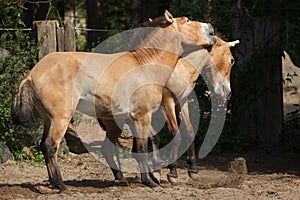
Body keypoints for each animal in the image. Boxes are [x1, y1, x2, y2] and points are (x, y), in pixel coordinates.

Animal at [11, 10, 217, 191]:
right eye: (188, 20)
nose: (212, 28)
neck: (145, 64)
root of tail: (32, 74)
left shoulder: (136, 118)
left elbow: (140, 148)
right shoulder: (142, 116)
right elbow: (143, 148)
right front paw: (150, 182)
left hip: (50, 118)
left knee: (46, 145)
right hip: (60, 118)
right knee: (50, 146)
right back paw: (61, 185)